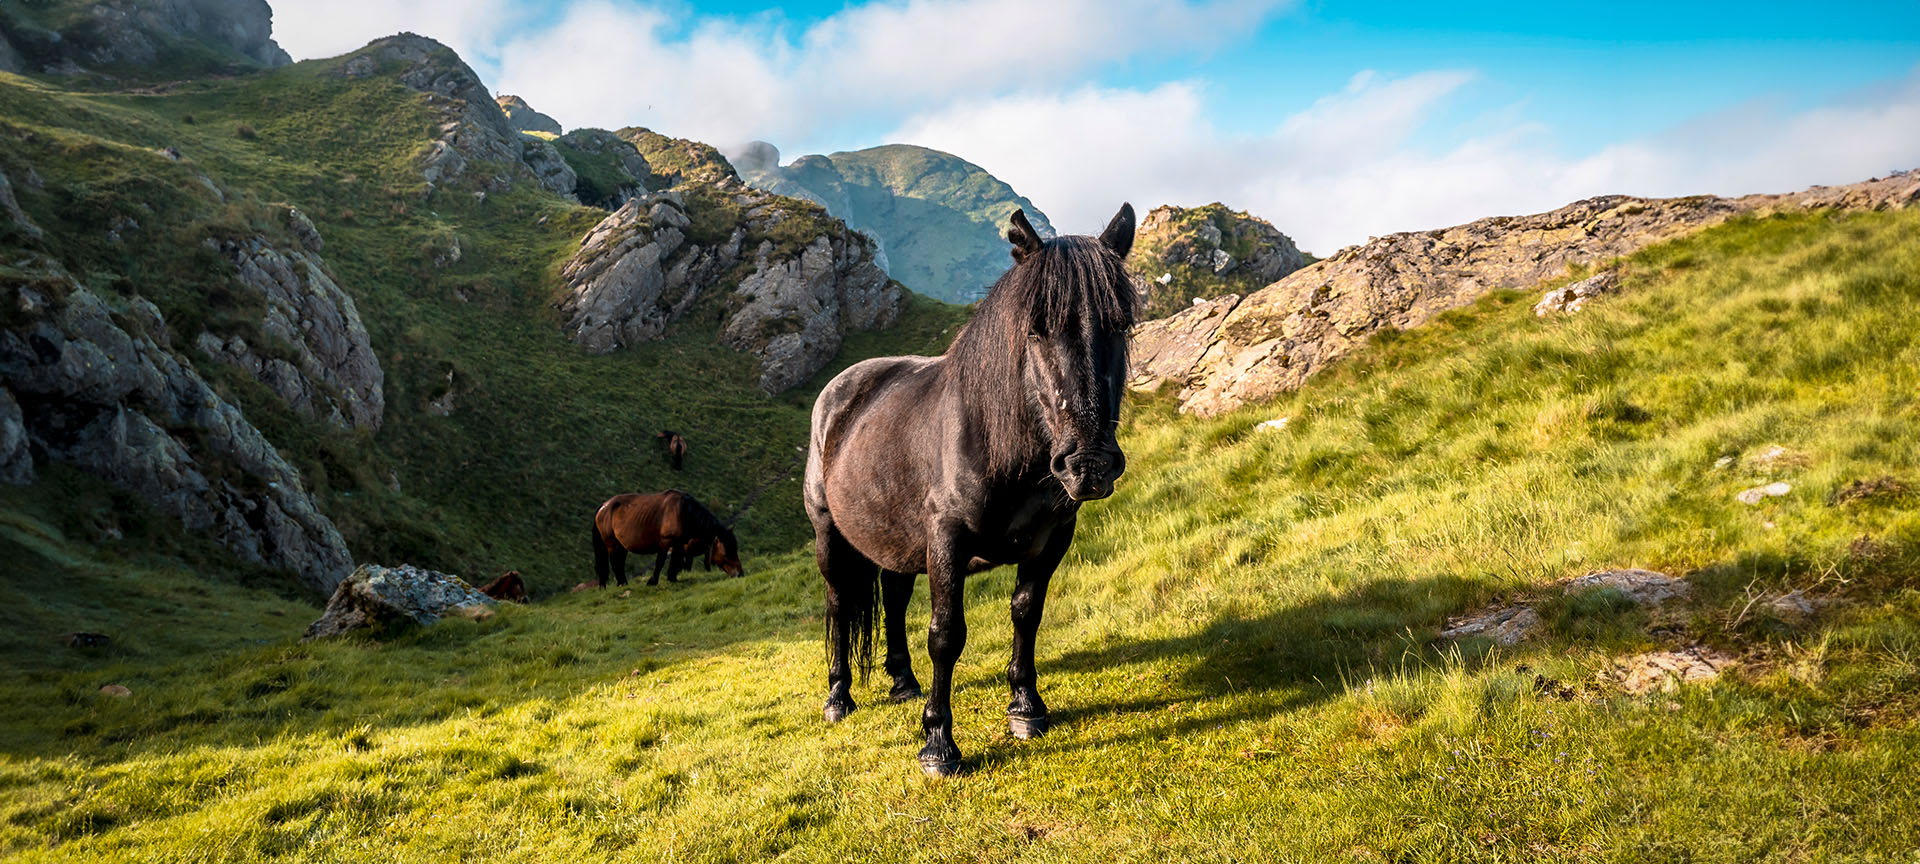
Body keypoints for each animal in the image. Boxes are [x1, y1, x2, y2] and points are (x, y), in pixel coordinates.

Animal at [592, 490, 742, 586]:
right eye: (726, 553)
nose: (740, 573)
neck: (683, 511)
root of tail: (603, 507)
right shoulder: (666, 542)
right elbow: (661, 561)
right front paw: (653, 581)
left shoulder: (679, 544)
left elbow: (675, 560)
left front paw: (672, 577)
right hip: (612, 543)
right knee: (615, 562)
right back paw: (621, 583)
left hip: (621, 545)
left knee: (620, 562)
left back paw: (624, 582)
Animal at [804, 203, 1136, 777]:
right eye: (1035, 329)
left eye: (1121, 324)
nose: (1088, 464)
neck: (1000, 442)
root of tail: (840, 390)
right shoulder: (947, 540)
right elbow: (946, 635)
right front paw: (938, 743)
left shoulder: (1054, 537)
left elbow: (1027, 611)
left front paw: (1025, 707)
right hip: (832, 536)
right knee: (840, 604)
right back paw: (839, 697)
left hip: (896, 540)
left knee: (893, 599)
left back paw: (903, 683)